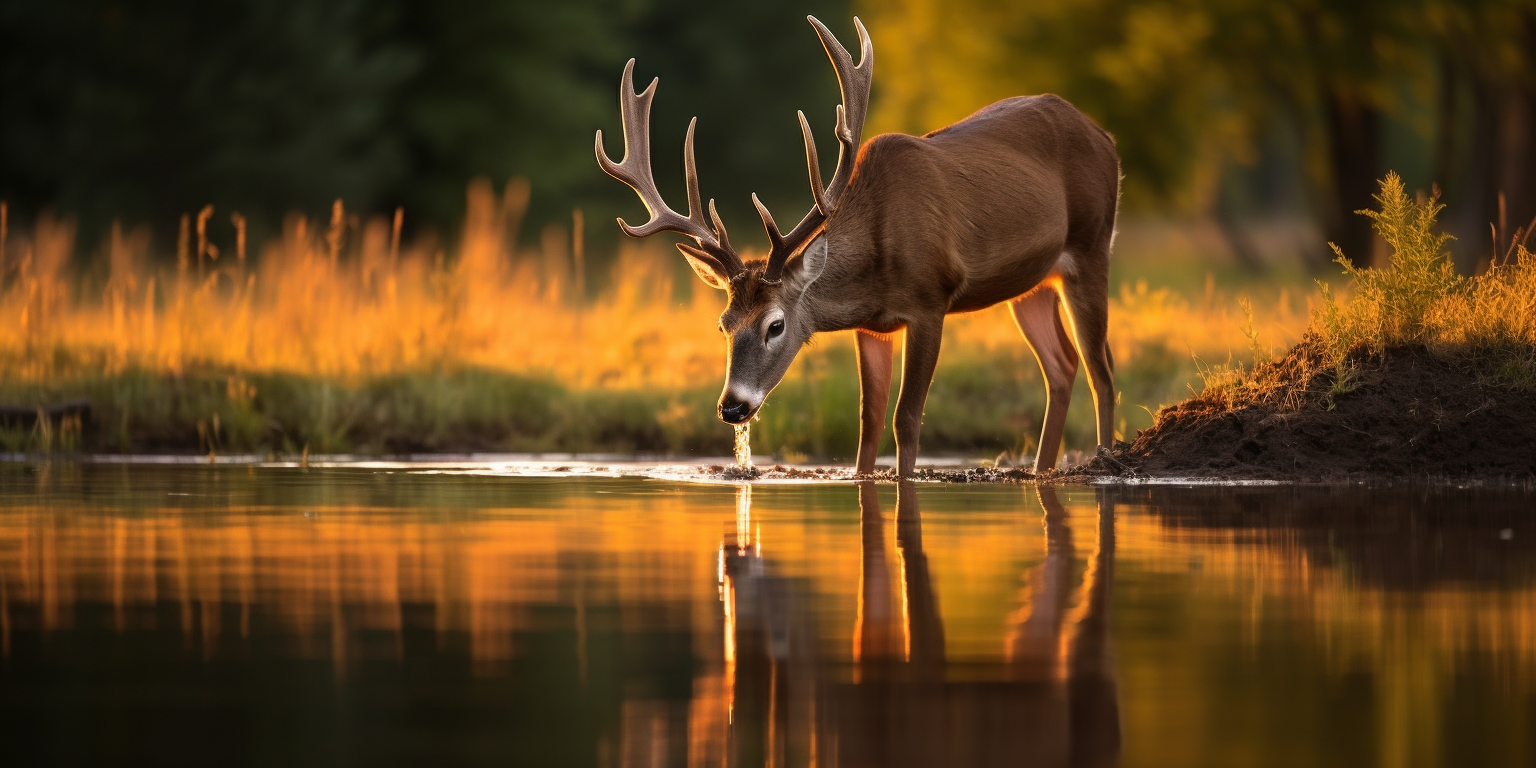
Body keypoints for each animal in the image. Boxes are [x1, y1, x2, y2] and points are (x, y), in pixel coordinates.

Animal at [595, 14, 1118, 476]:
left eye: (775, 325)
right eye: (722, 324)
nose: (733, 408)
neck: (877, 256)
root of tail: (1105, 135)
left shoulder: (931, 302)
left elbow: (906, 420)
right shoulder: (871, 326)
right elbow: (868, 425)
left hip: (1092, 246)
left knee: (1103, 371)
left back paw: (1107, 461)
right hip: (1032, 285)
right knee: (1062, 366)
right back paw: (1043, 471)